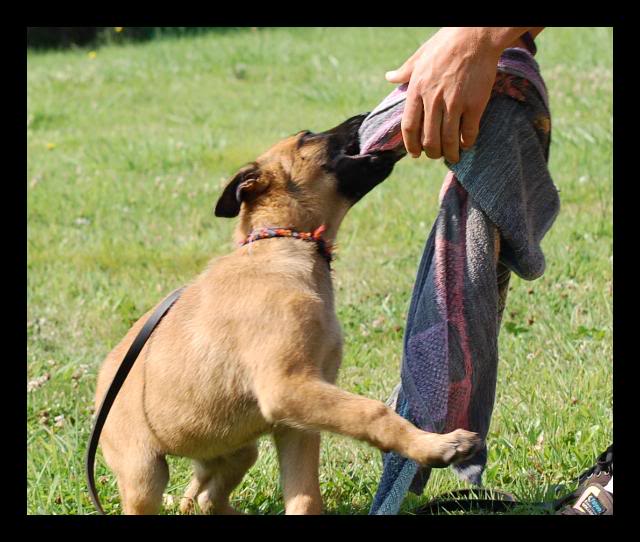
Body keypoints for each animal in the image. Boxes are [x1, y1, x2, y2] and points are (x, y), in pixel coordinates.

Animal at [92, 113, 478, 516]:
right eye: (307, 137)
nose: (360, 116)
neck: (284, 241)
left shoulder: (299, 417)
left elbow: (305, 496)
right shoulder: (288, 388)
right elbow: (372, 412)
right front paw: (436, 445)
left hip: (238, 449)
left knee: (205, 497)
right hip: (144, 470)